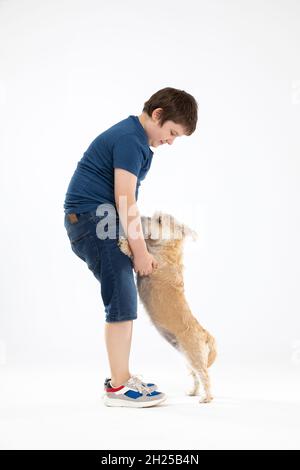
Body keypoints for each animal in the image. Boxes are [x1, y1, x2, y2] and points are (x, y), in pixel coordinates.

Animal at [118, 211, 218, 402]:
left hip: (194, 356)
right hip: (187, 359)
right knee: (196, 376)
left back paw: (207, 398)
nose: (143, 216)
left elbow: (136, 256)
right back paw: (193, 392)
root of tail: (205, 335)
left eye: (159, 220)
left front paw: (125, 245)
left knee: (205, 375)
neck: (166, 249)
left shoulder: (148, 265)